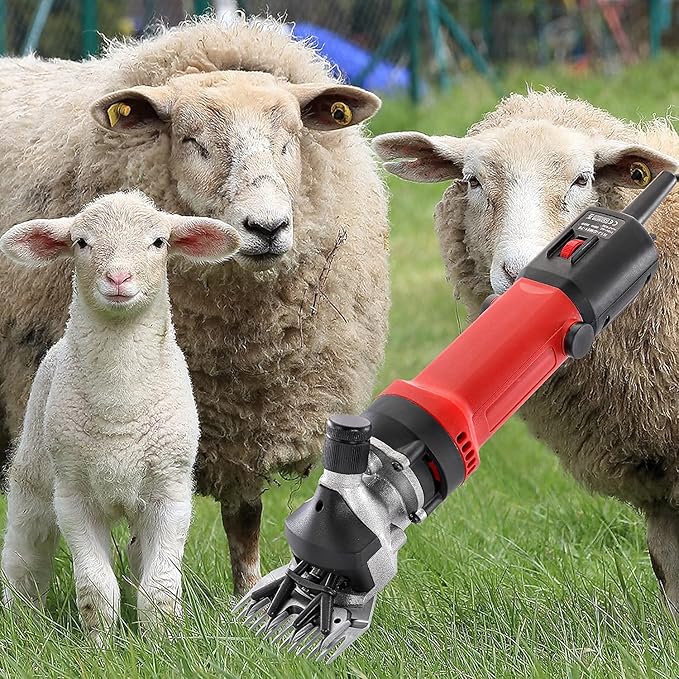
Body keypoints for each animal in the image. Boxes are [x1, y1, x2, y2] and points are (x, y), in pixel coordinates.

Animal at [0, 191, 241, 639]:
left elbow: (159, 588)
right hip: (34, 473)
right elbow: (96, 588)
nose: (118, 279)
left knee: (137, 557)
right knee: (26, 550)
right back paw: (22, 617)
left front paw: (161, 640)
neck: (120, 405)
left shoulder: (171, 493)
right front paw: (100, 644)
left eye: (159, 242)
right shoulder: (73, 496)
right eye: (81, 242)